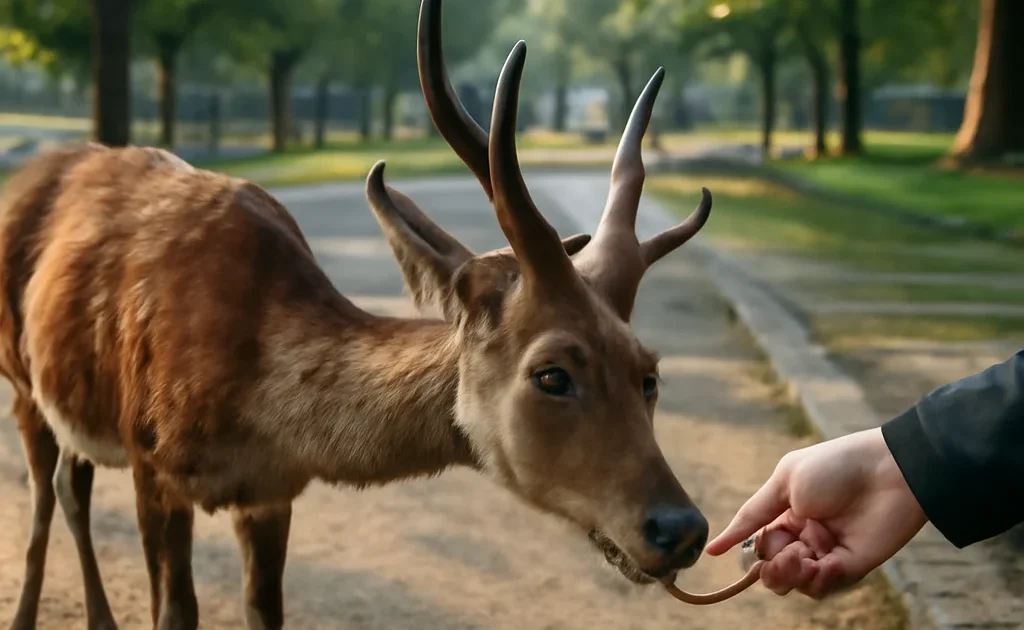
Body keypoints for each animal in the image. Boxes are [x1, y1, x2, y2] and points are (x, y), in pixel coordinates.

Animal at [0, 0, 714, 628]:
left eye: (649, 375)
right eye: (552, 373)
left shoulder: (273, 492)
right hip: (20, 376)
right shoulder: (151, 462)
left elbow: (265, 612)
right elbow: (176, 614)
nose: (680, 528)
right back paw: (28, 614)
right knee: (46, 492)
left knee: (68, 481)